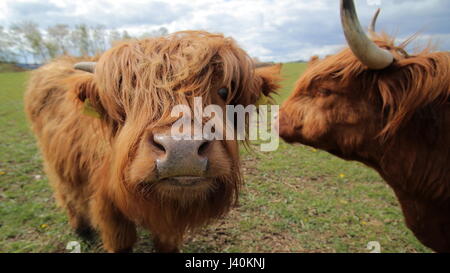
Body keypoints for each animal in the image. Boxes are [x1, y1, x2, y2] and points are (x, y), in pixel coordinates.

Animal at [25, 30, 282, 252]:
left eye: (223, 91)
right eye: (128, 95)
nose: (183, 150)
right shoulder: (108, 209)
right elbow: (121, 243)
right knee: (68, 195)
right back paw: (82, 230)